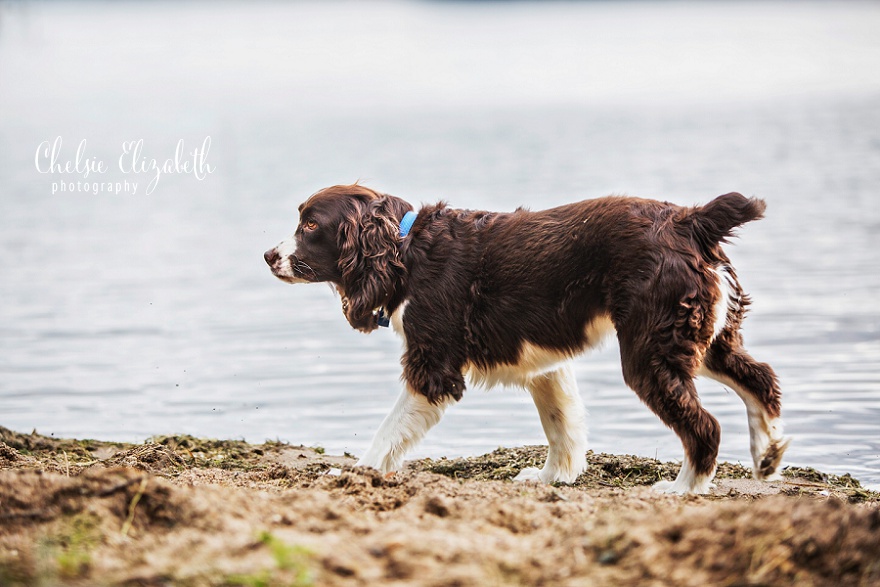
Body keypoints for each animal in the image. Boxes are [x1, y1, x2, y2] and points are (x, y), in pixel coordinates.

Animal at [262, 181, 792, 494]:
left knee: (706, 425)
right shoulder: (545, 365)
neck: (405, 249)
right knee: (761, 380)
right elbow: (561, 426)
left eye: (311, 224)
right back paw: (767, 456)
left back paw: (683, 488)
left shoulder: (432, 368)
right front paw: (550, 478)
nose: (268, 255)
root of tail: (690, 220)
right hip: (704, 339)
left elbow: (386, 433)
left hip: (650, 352)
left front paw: (350, 473)